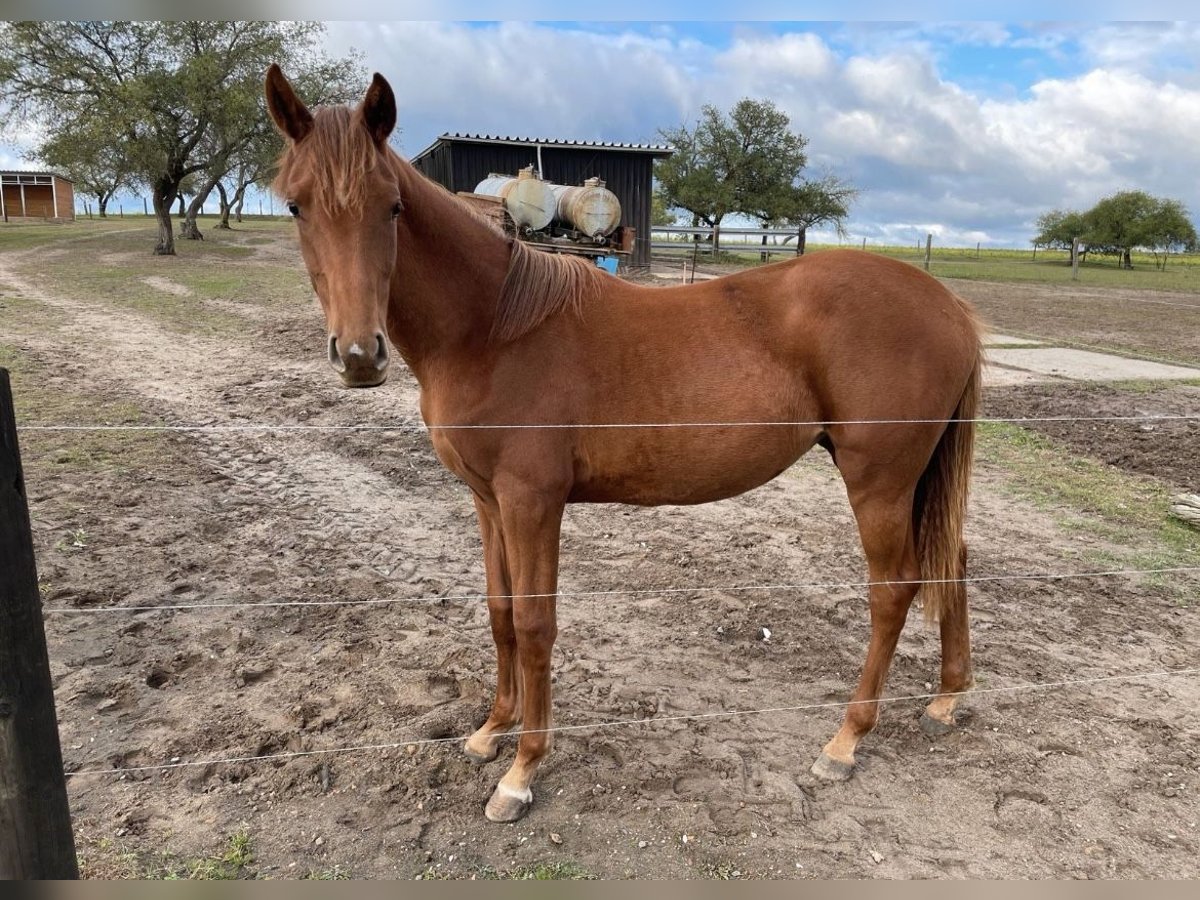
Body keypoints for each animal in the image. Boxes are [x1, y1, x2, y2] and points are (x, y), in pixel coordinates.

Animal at [267, 65, 979, 825]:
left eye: (393, 207)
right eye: (297, 207)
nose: (358, 356)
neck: (494, 328)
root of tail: (947, 304)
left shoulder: (533, 503)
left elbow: (535, 623)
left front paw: (522, 770)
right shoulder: (488, 502)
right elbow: (499, 613)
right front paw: (490, 731)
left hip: (879, 481)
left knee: (894, 589)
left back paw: (845, 741)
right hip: (913, 480)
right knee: (952, 560)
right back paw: (947, 698)